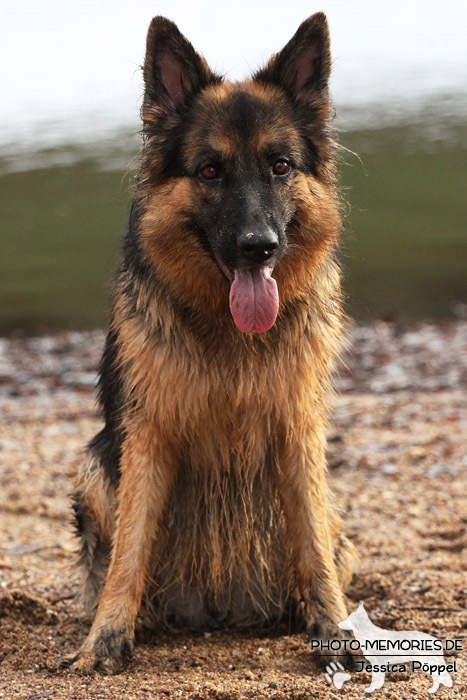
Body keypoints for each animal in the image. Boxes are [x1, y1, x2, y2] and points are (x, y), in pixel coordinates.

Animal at [62, 13, 358, 676]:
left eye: (280, 166)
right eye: (209, 171)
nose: (258, 246)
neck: (230, 335)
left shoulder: (297, 428)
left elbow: (313, 545)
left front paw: (334, 628)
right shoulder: (148, 433)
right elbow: (129, 552)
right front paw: (106, 638)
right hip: (95, 469)